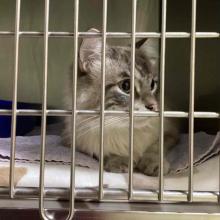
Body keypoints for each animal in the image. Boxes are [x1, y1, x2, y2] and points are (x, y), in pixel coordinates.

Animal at [62, 28, 180, 176]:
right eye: (126, 86)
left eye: (152, 84)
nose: (154, 106)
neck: (126, 131)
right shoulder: (78, 144)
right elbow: (106, 153)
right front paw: (120, 161)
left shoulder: (170, 133)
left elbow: (156, 147)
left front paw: (154, 164)